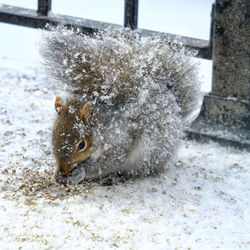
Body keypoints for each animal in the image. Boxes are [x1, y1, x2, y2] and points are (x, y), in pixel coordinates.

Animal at [40, 25, 201, 186]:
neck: (101, 129)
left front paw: (80, 172)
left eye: (81, 145)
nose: (63, 170)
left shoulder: (119, 142)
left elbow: (106, 163)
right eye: (53, 135)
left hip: (148, 153)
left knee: (138, 172)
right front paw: (57, 174)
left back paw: (116, 177)